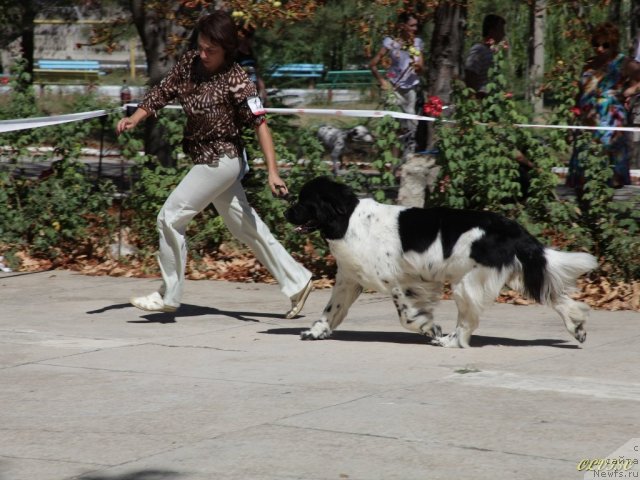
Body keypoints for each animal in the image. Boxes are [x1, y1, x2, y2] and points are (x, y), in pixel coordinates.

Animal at [288, 175, 596, 344]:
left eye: (303, 202)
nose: (285, 212)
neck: (349, 219)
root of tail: (514, 228)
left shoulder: (401, 281)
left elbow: (408, 315)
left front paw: (430, 328)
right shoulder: (349, 281)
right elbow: (331, 310)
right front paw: (315, 332)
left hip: (468, 282)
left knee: (468, 321)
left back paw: (450, 342)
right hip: (516, 274)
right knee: (556, 297)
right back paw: (578, 328)